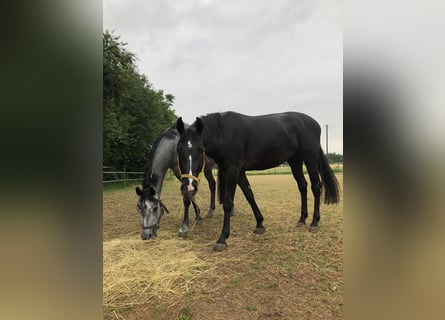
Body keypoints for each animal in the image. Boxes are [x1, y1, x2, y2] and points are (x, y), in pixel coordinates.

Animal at [175, 111, 338, 251]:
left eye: (200, 149)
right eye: (178, 149)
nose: (189, 188)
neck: (224, 133)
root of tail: (314, 123)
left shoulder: (233, 170)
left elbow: (228, 202)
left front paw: (222, 239)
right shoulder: (239, 172)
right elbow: (249, 195)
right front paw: (260, 224)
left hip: (310, 159)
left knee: (316, 186)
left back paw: (314, 222)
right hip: (295, 161)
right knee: (302, 186)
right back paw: (302, 220)